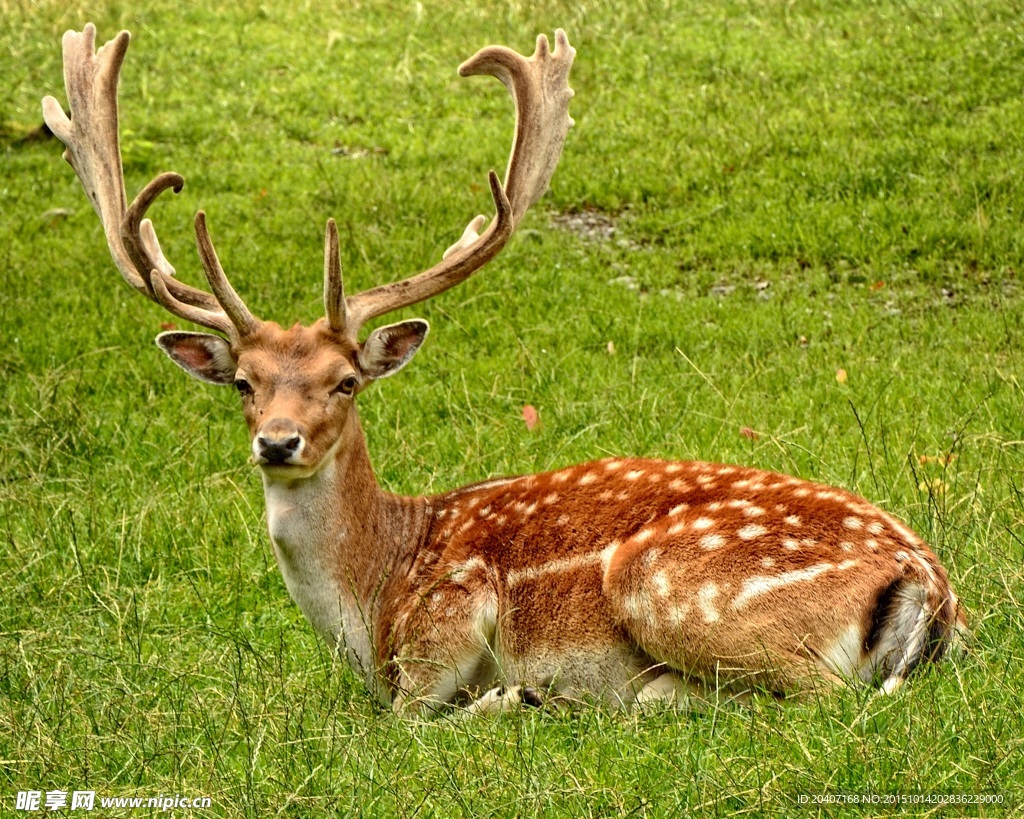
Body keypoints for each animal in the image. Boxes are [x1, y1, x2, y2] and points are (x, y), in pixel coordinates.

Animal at [43, 24, 965, 716]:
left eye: (346, 380)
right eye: (245, 382)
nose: (278, 441)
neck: (373, 596)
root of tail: (930, 583)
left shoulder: (448, 616)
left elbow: (408, 717)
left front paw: (508, 697)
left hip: (668, 583)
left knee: (820, 695)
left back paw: (610, 696)